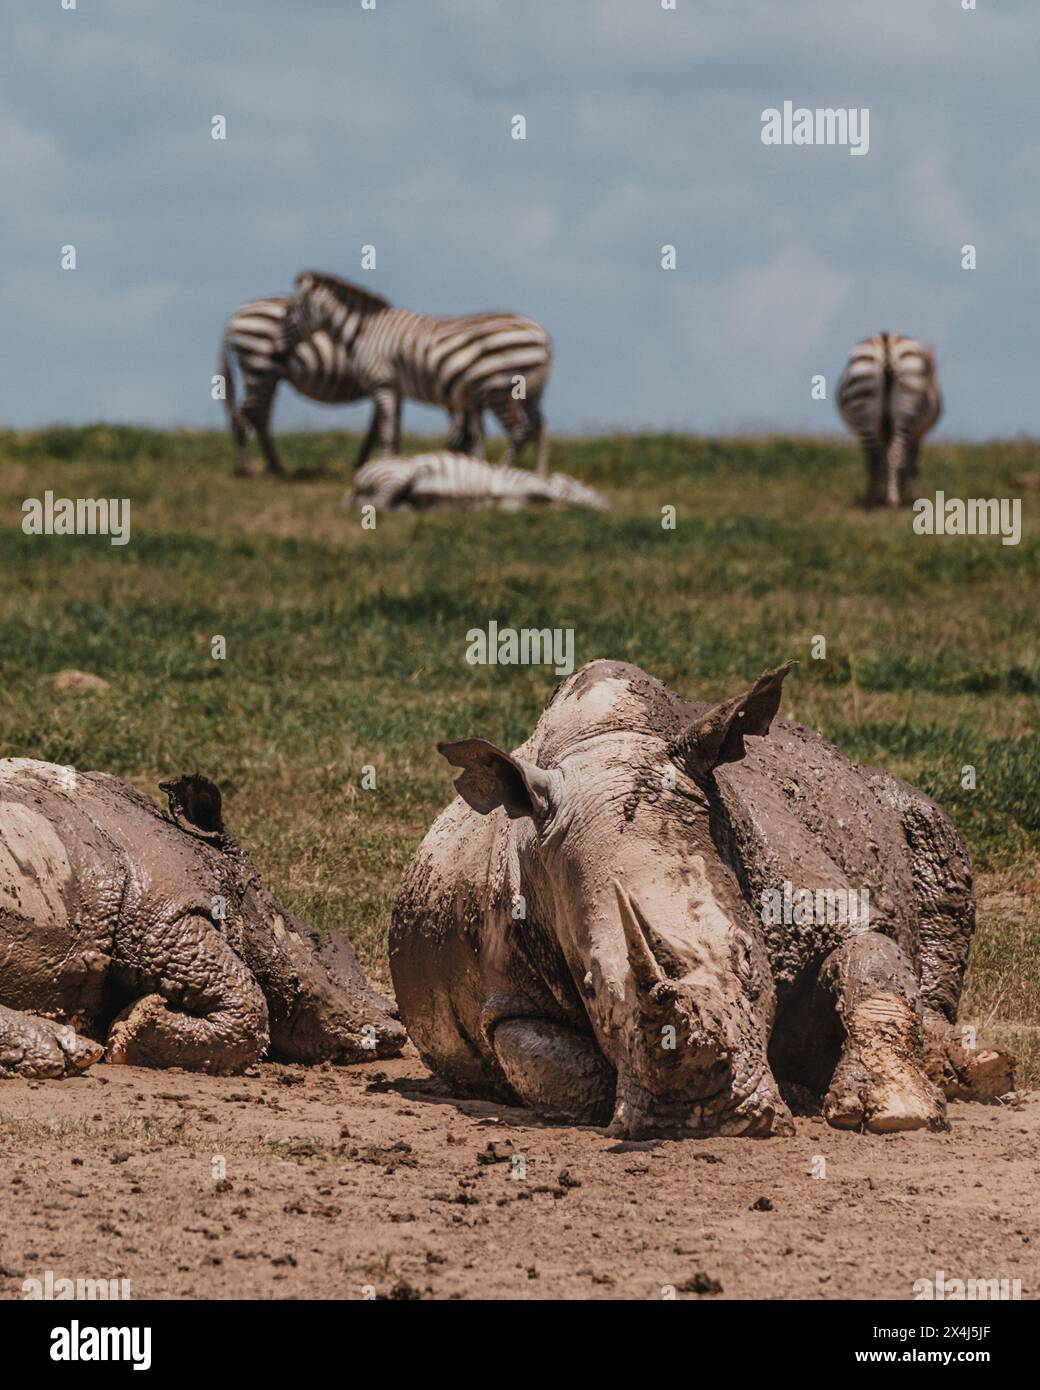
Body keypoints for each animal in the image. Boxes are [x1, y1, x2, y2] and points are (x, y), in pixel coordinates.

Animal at [287, 271, 556, 478]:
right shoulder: (395, 388)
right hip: (532, 393)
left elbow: (386, 432)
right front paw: (392, 468)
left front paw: (385, 467)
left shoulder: (382, 384)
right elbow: (394, 432)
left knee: (519, 432)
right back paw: (539, 477)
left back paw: (503, 474)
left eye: (291, 309)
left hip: (499, 389)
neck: (365, 332)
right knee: (540, 428)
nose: (280, 341)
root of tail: (542, 333)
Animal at [834, 333, 939, 508]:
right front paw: (914, 498)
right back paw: (889, 500)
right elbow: (912, 464)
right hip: (903, 410)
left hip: (865, 408)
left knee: (876, 457)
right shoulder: (917, 435)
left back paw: (874, 499)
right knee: (892, 454)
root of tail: (887, 340)